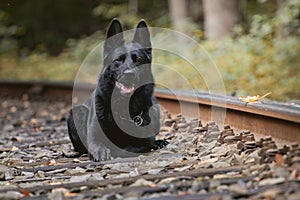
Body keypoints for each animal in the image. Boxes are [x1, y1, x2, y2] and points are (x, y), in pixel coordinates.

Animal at [66, 19, 168, 161]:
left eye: (138, 60)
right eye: (118, 59)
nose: (129, 74)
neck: (122, 108)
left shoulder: (144, 141)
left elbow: (129, 148)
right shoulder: (93, 139)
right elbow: (97, 145)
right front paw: (101, 152)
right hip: (76, 111)